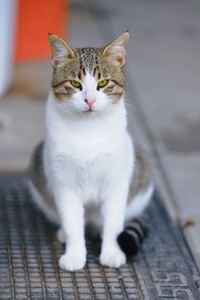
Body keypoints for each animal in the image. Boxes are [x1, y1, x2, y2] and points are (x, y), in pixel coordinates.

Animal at [27, 32, 153, 272]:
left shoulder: (116, 184)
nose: (90, 100)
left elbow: (113, 224)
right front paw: (75, 255)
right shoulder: (64, 185)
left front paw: (112, 252)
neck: (88, 130)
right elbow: (72, 224)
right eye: (75, 84)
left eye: (103, 83)